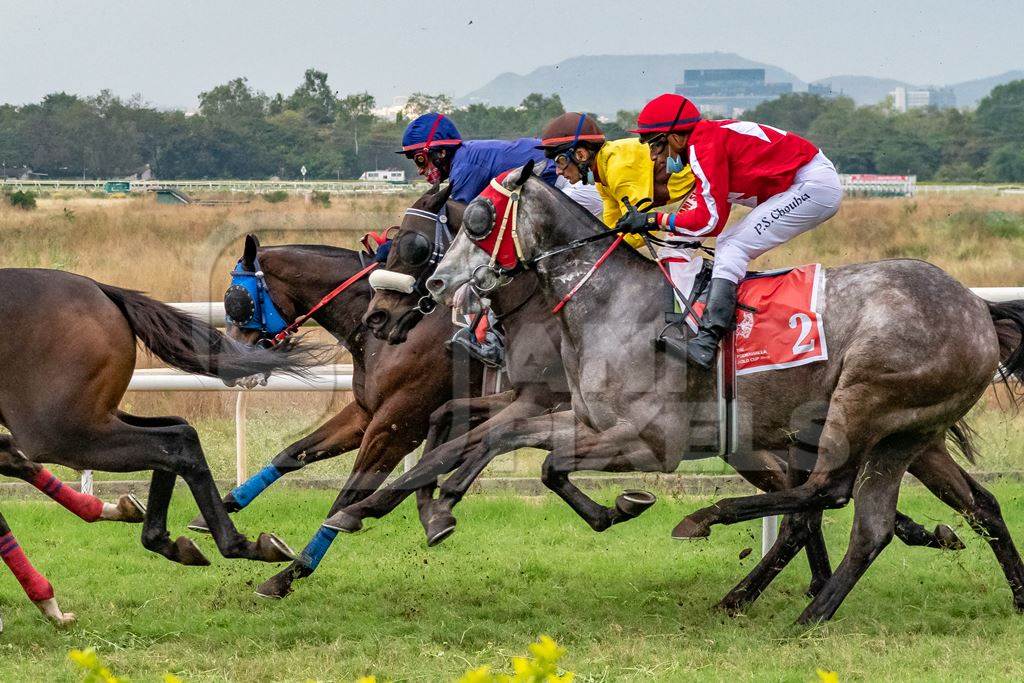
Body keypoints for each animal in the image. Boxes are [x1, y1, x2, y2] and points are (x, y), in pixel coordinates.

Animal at [0, 268, 319, 630]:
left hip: (59, 429)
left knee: (174, 441)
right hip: (95, 415)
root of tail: (102, 291)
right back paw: (161, 538)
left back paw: (235, 544)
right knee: (180, 432)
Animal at [413, 162, 1024, 622]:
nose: (438, 283)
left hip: (863, 405)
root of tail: (977, 307)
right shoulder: (588, 421)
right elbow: (520, 444)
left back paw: (714, 526)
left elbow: (545, 462)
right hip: (910, 435)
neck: (612, 303)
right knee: (922, 516)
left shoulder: (653, 442)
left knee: (826, 493)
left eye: (478, 218)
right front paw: (444, 500)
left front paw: (623, 505)